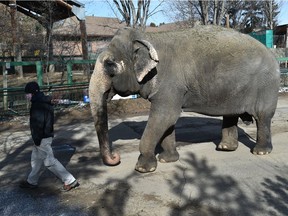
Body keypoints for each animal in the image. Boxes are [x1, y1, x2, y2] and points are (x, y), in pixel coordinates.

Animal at [89, 25, 280, 173]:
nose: (116, 156)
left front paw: (143, 168)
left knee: (263, 117)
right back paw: (225, 148)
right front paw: (167, 159)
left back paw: (260, 152)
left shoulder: (170, 83)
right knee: (231, 114)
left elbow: (165, 116)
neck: (147, 37)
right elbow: (168, 121)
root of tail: (273, 55)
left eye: (110, 64)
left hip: (266, 87)